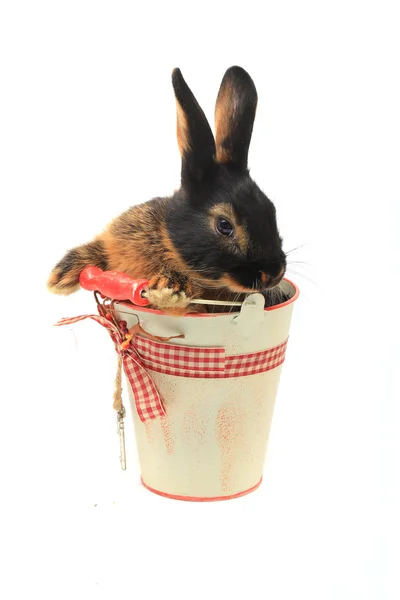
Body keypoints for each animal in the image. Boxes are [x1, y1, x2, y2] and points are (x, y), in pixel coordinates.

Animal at [47, 67, 288, 314]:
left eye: (272, 211)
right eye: (224, 225)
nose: (273, 274)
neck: (168, 244)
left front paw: (170, 288)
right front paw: (61, 277)